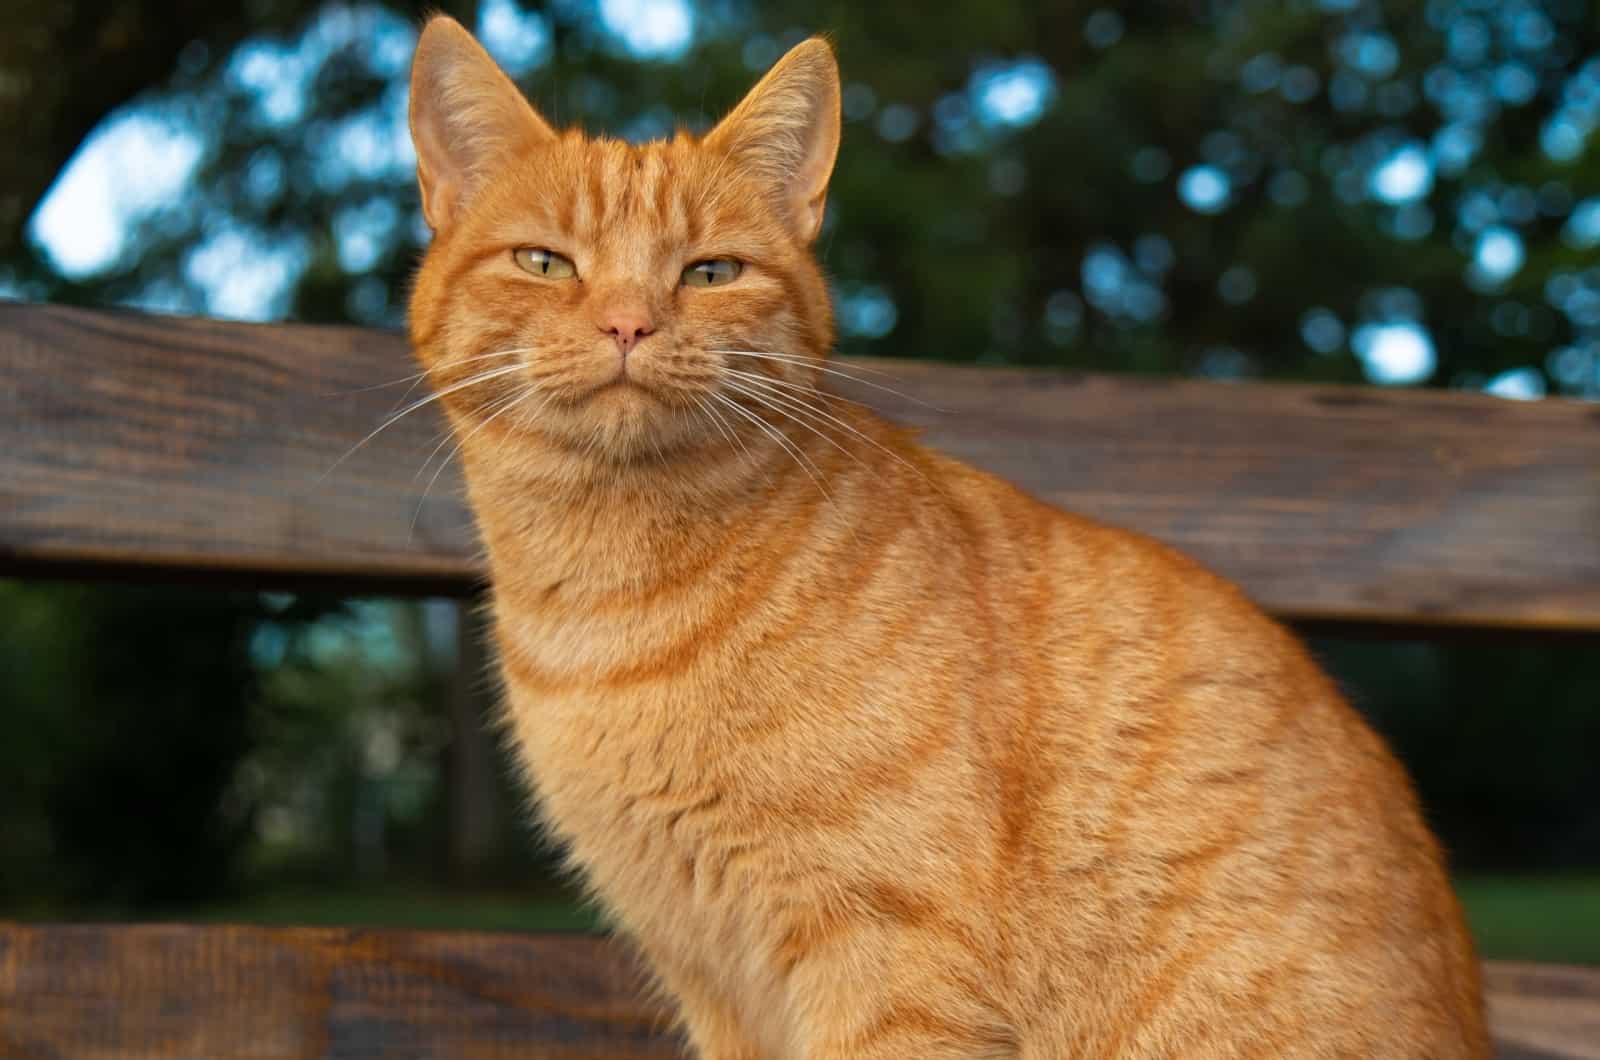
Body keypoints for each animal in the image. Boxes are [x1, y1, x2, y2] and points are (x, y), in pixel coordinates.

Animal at [403, 18, 1484, 1060]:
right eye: (544, 262)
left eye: (711, 273)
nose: (629, 324)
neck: (610, 594)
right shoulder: (710, 974)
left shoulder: (887, 954)